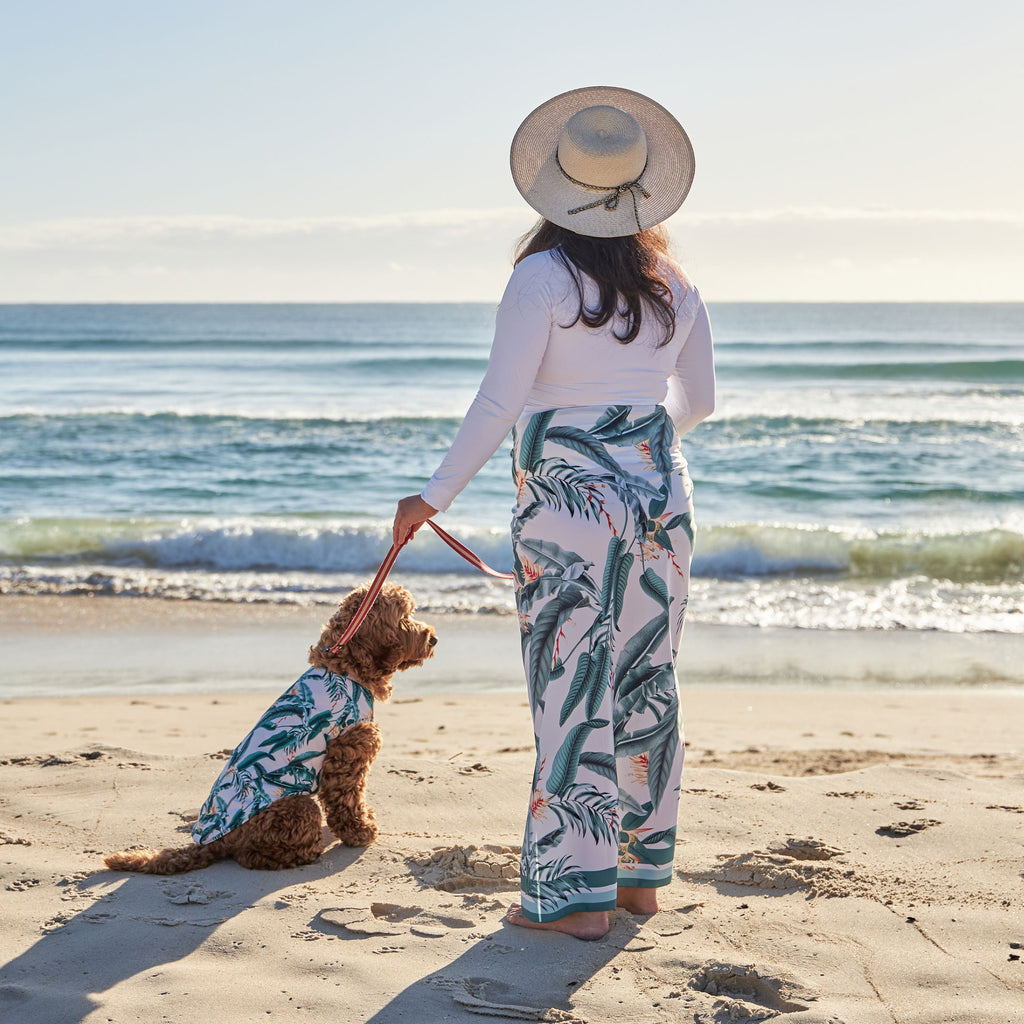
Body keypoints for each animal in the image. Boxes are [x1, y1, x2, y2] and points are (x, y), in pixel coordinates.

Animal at [104, 585, 436, 872]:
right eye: (404, 617)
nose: (433, 639)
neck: (344, 668)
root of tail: (213, 839)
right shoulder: (347, 754)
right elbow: (348, 801)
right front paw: (361, 832)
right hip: (296, 807)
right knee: (249, 855)